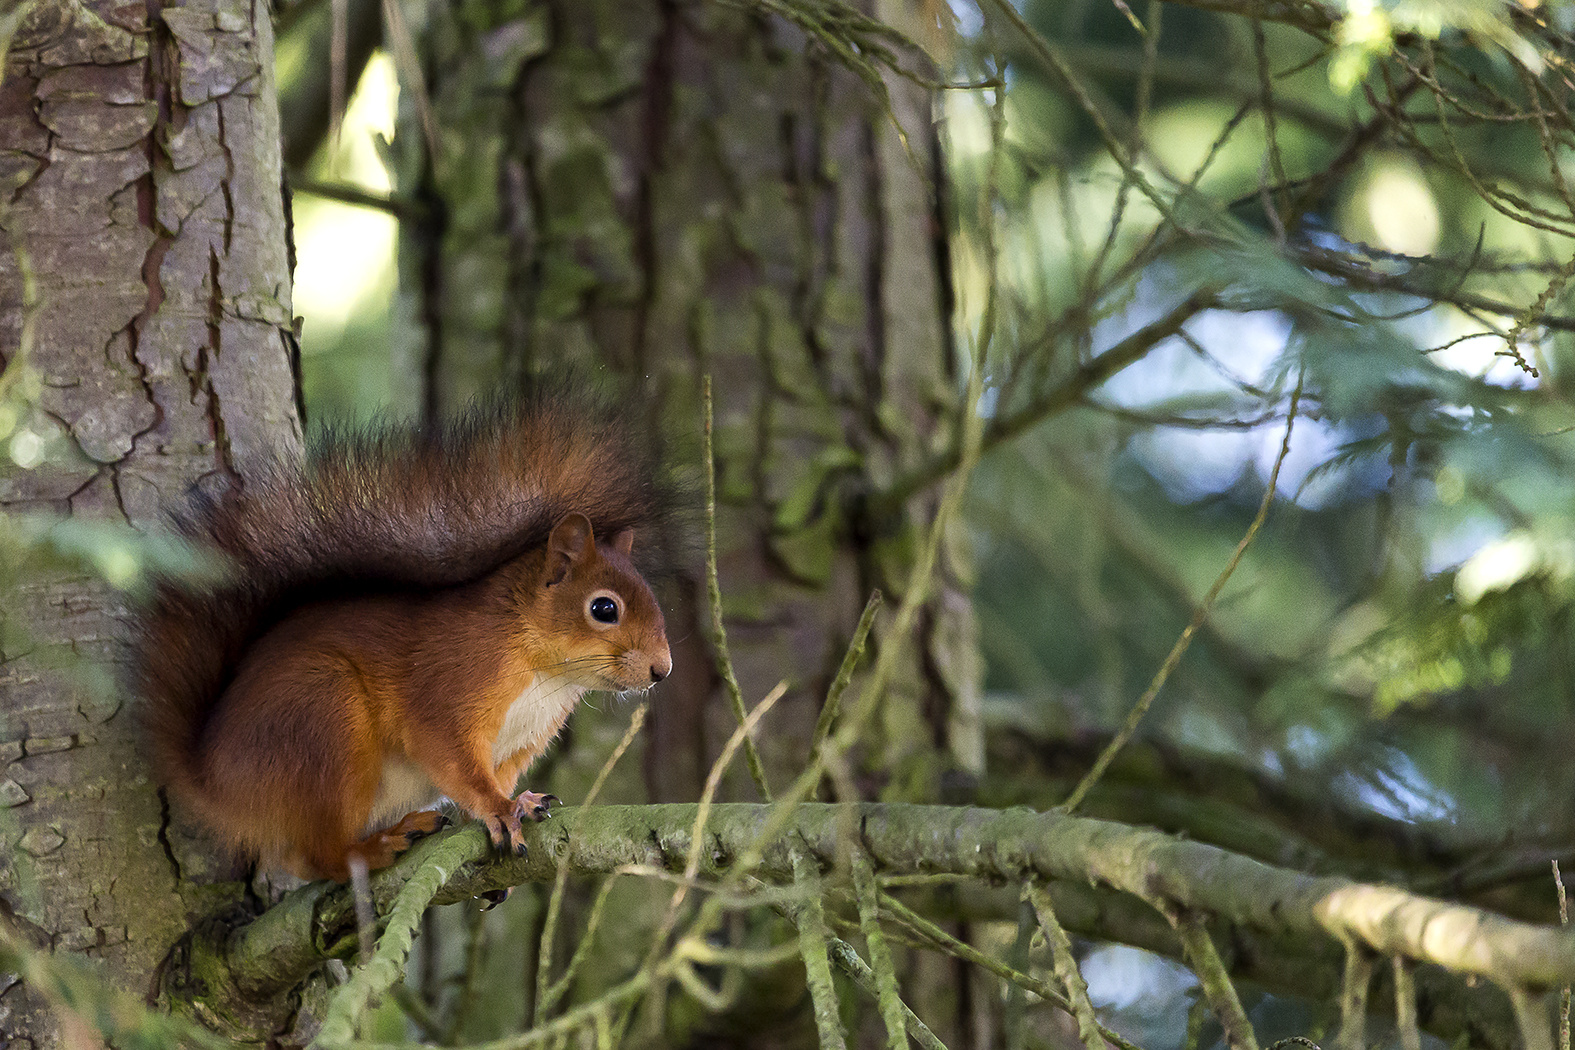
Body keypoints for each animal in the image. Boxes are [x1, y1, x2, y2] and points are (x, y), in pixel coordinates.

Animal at [132, 384, 674, 881]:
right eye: (603, 608)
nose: (662, 670)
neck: (545, 671)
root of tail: (213, 779)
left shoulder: (521, 743)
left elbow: (494, 777)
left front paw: (517, 801)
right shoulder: (451, 686)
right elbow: (449, 756)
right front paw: (499, 809)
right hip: (322, 722)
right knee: (318, 856)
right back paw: (378, 846)